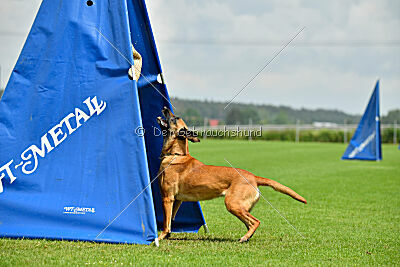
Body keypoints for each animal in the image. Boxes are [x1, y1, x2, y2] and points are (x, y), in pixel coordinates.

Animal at [156, 107, 306, 243]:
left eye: (174, 118)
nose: (165, 107)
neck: (176, 155)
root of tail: (253, 177)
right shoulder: (177, 200)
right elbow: (171, 221)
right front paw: (168, 236)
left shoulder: (167, 198)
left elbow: (166, 223)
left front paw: (159, 237)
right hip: (239, 207)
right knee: (250, 224)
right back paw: (247, 237)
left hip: (232, 203)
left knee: (255, 222)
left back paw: (244, 238)